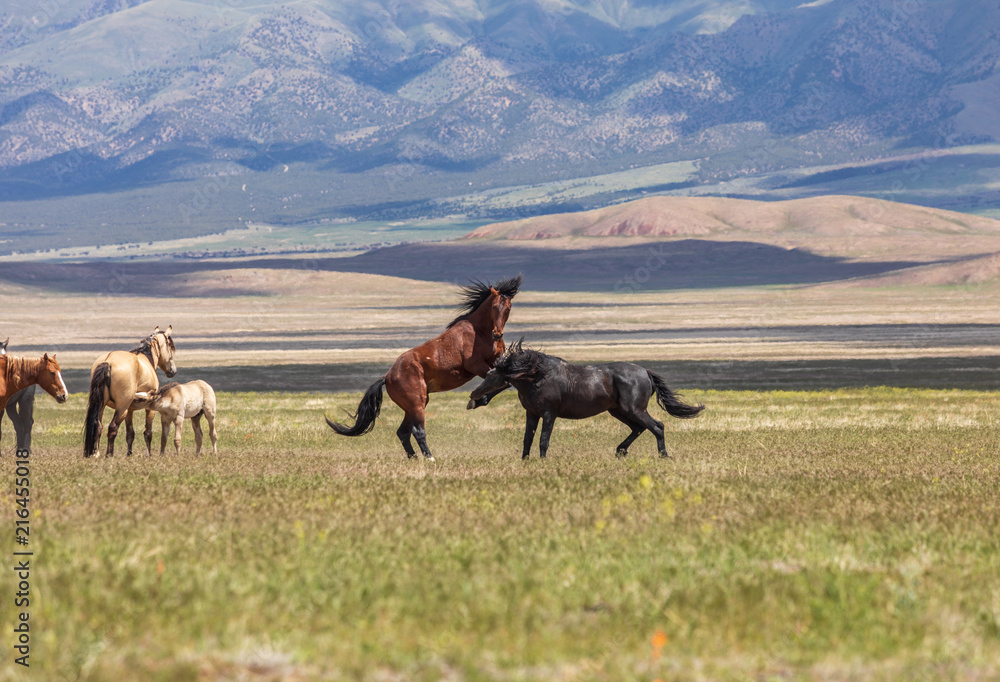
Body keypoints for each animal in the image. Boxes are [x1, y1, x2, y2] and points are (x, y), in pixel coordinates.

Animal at [84, 326, 177, 458]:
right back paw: (109, 455)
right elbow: (148, 433)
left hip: (102, 405)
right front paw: (148, 455)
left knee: (98, 426)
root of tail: (108, 361)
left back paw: (96, 454)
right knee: (112, 428)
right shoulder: (150, 409)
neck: (146, 358)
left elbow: (130, 434)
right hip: (121, 408)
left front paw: (129, 454)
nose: (173, 371)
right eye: (171, 347)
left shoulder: (130, 410)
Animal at [327, 275, 522, 460]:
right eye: (494, 307)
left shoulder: (495, 363)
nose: (497, 334)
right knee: (417, 431)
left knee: (403, 432)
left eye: (508, 308)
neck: (478, 331)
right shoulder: (476, 365)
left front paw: (478, 400)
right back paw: (430, 458)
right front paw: (476, 400)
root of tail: (387, 377)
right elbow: (503, 382)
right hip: (417, 404)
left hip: (413, 406)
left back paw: (414, 457)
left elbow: (504, 382)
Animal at [468, 340, 704, 459]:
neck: (537, 377)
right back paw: (620, 452)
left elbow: (543, 440)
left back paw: (663, 456)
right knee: (639, 429)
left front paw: (543, 462)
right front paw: (525, 462)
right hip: (617, 411)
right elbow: (527, 439)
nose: (473, 397)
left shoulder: (549, 414)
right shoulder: (532, 414)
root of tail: (645, 372)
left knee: (657, 426)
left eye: (491, 376)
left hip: (634, 410)